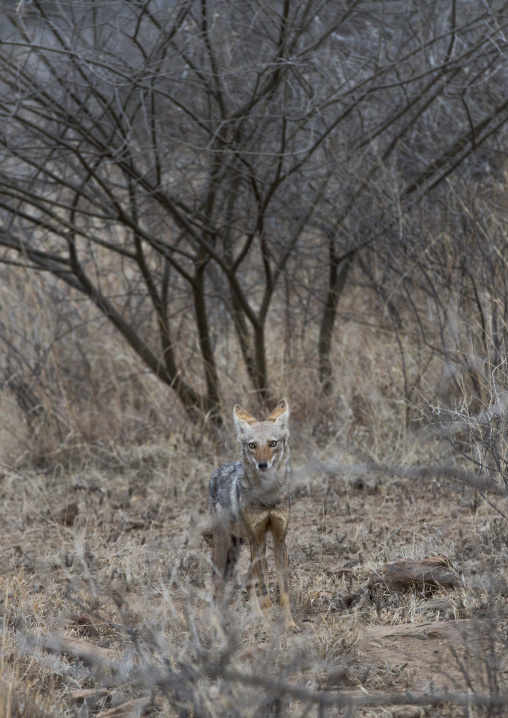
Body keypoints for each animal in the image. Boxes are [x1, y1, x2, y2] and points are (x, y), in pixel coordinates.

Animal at [208, 399, 300, 633]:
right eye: (252, 445)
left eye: (272, 443)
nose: (262, 464)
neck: (267, 495)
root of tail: (216, 472)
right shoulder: (256, 541)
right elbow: (265, 591)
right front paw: (269, 626)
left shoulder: (279, 539)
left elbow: (283, 590)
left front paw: (289, 623)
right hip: (228, 545)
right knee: (218, 586)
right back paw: (219, 624)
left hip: (255, 545)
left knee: (247, 582)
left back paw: (255, 616)